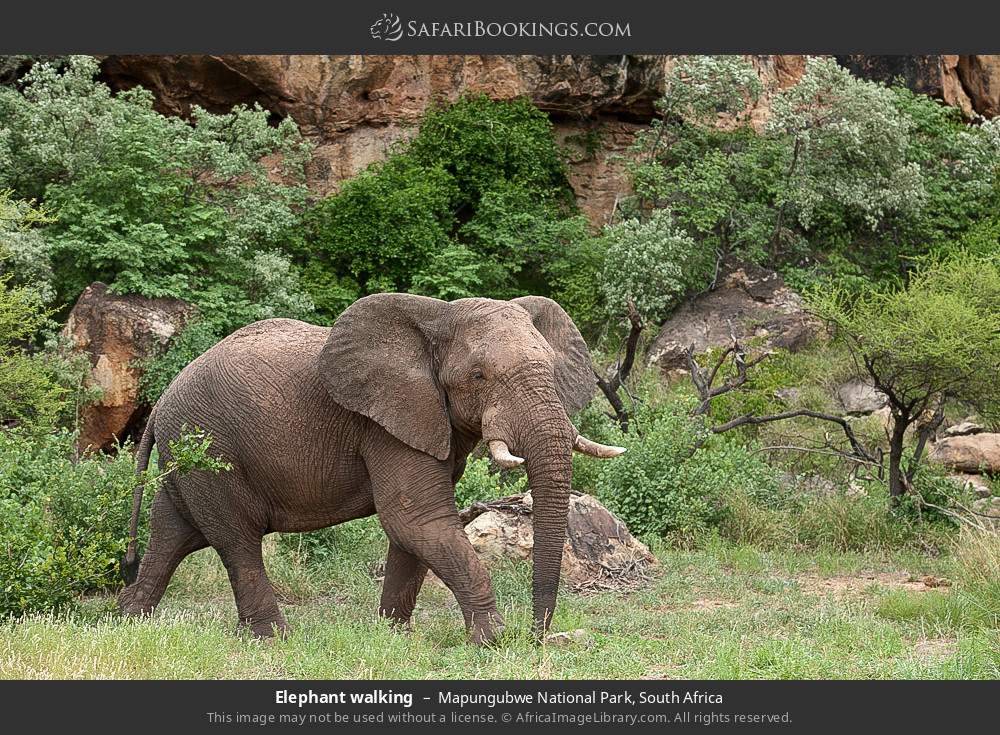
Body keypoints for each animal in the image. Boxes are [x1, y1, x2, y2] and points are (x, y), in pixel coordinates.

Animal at [118, 293, 625, 644]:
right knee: (235, 540)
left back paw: (128, 621)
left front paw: (393, 635)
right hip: (208, 448)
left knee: (173, 534)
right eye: (479, 376)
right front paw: (493, 640)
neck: (438, 319)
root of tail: (161, 401)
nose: (537, 635)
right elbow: (418, 521)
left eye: (550, 368)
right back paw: (273, 639)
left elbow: (413, 532)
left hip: (188, 457)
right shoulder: (383, 426)